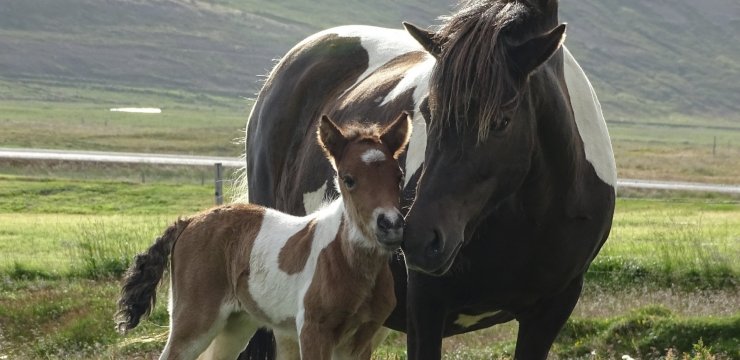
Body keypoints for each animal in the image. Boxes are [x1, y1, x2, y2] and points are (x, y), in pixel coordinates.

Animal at [115, 113, 410, 360]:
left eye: (398, 176)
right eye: (348, 179)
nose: (391, 225)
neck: (347, 260)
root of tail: (188, 221)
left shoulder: (361, 338)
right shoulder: (314, 330)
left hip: (237, 322)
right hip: (195, 319)